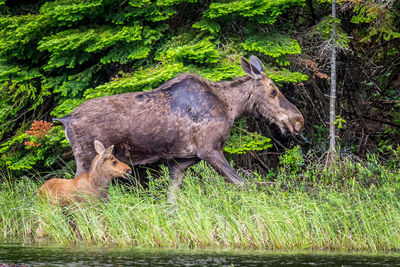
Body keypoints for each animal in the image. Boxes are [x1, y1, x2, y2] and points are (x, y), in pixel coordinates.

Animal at [54, 56, 304, 203]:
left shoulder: (180, 161)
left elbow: (172, 200)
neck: (231, 108)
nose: (298, 120)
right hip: (87, 157)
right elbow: (243, 183)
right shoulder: (210, 150)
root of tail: (65, 120)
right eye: (273, 91)